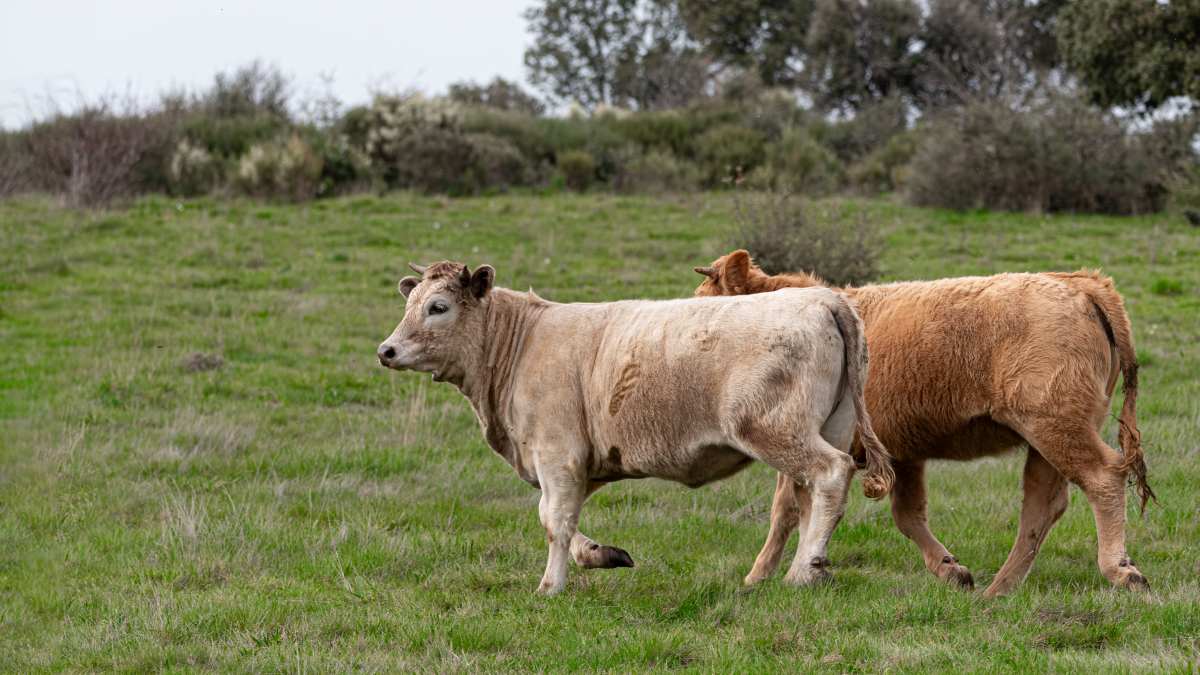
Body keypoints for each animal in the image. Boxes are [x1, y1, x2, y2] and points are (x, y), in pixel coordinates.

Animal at [377, 260, 895, 595]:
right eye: (411, 303)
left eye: (438, 307)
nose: (386, 350)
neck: (521, 342)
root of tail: (823, 298)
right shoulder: (575, 462)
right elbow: (558, 518)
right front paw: (601, 554)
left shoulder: (557, 454)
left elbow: (555, 520)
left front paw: (550, 586)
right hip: (829, 425)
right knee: (809, 498)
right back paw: (811, 567)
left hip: (779, 431)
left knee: (829, 475)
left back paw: (803, 570)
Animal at [693, 249, 1154, 597]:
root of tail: (1080, 282)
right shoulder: (902, 453)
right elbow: (906, 514)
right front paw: (952, 569)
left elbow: (787, 508)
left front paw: (758, 576)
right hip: (1046, 441)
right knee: (1042, 505)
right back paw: (998, 591)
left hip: (1056, 428)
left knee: (1101, 477)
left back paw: (1121, 570)